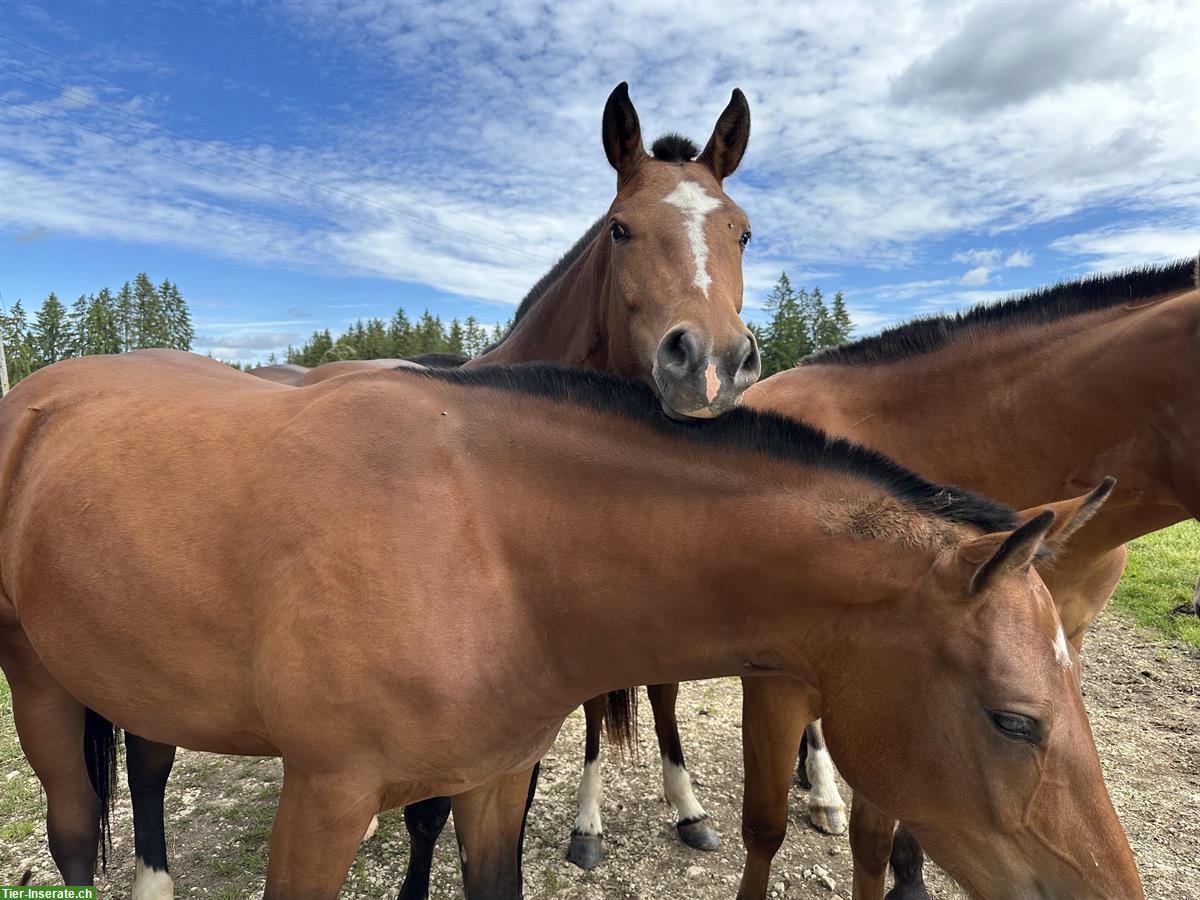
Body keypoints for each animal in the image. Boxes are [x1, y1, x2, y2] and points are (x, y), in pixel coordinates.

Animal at [2, 352, 1142, 900]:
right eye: (1015, 722)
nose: (1107, 894)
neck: (487, 541)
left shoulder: (495, 780)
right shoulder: (323, 801)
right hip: (40, 685)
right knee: (73, 833)